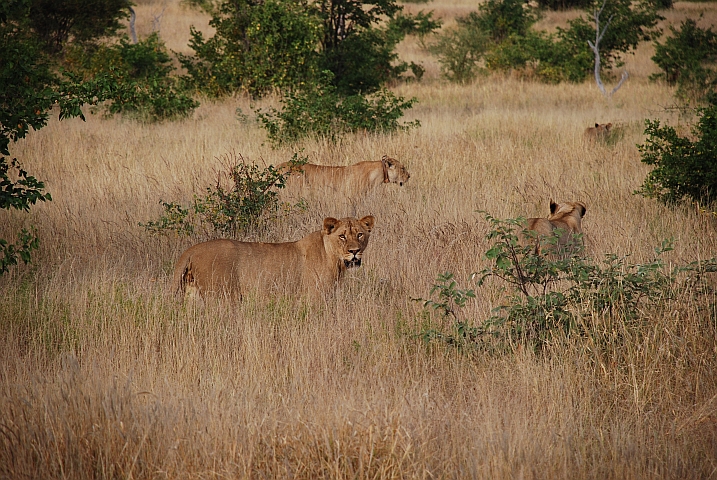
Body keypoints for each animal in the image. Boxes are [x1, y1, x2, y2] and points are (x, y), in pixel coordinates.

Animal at [172, 217, 374, 300]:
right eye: (342, 236)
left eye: (360, 235)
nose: (355, 251)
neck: (335, 260)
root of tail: (191, 249)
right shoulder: (315, 296)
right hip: (223, 297)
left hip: (192, 294)